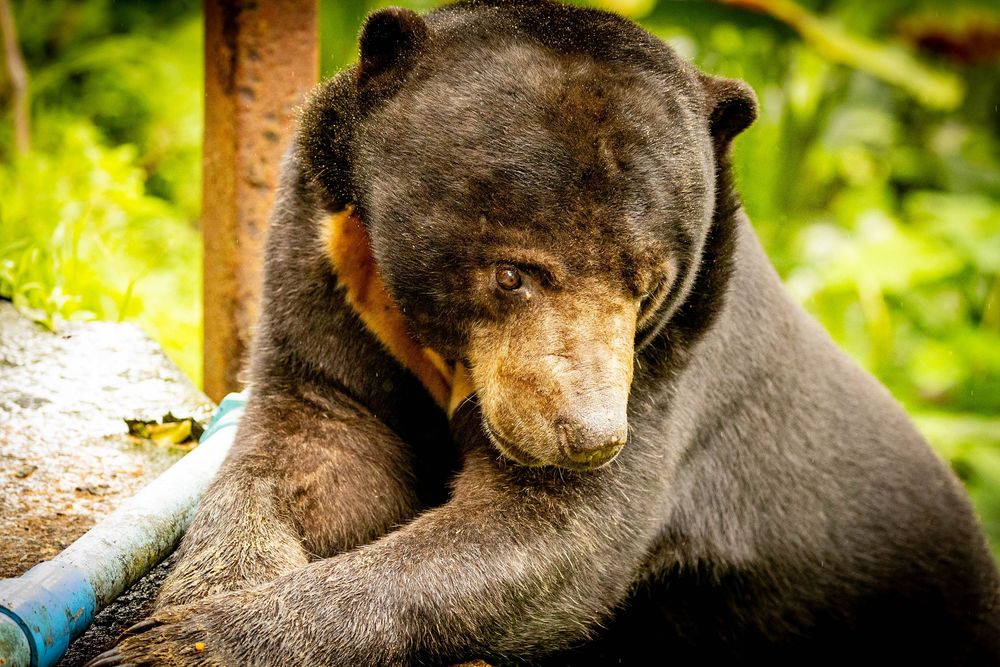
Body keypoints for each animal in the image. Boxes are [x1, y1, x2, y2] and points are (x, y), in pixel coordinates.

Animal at [88, 1, 1000, 665]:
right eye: (512, 273)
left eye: (647, 285)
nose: (587, 436)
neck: (435, 347)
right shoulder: (327, 269)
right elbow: (310, 452)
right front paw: (189, 611)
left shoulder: (672, 370)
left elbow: (543, 540)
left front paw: (177, 645)